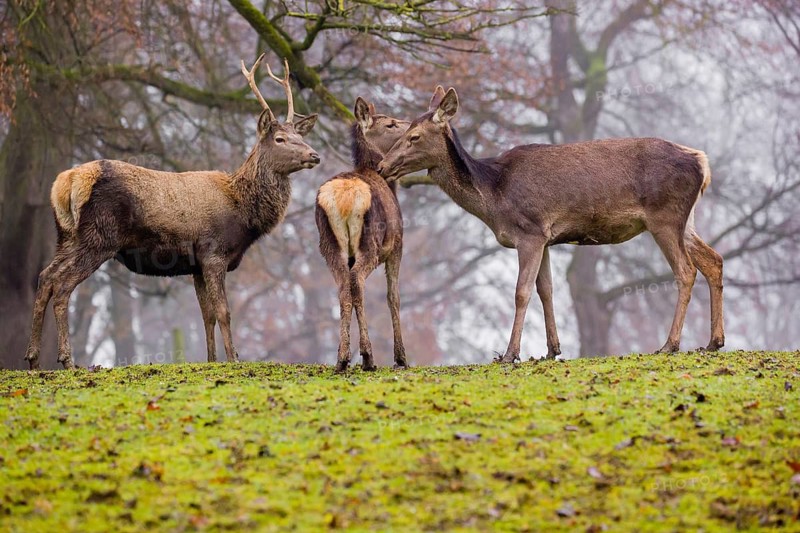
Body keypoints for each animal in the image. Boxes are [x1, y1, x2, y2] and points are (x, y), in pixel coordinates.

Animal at [24, 55, 320, 370]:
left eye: (298, 135)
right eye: (279, 139)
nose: (314, 155)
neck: (242, 213)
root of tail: (65, 182)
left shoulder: (196, 263)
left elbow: (207, 315)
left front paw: (211, 360)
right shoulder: (214, 253)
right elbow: (224, 311)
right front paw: (233, 359)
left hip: (66, 236)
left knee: (45, 277)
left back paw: (33, 359)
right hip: (98, 238)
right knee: (61, 285)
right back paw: (67, 360)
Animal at [316, 97, 411, 372]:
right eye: (390, 124)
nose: (413, 125)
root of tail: (345, 197)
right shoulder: (397, 244)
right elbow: (393, 296)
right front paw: (401, 357)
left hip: (328, 244)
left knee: (343, 287)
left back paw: (342, 357)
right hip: (371, 243)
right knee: (357, 281)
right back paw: (367, 355)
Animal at [378, 86, 724, 362]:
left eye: (413, 136)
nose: (382, 166)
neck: (494, 196)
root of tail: (702, 162)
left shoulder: (529, 231)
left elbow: (521, 292)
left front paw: (509, 354)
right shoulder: (544, 237)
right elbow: (546, 290)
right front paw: (551, 349)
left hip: (664, 217)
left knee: (685, 271)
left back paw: (670, 344)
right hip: (686, 221)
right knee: (714, 261)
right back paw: (714, 341)